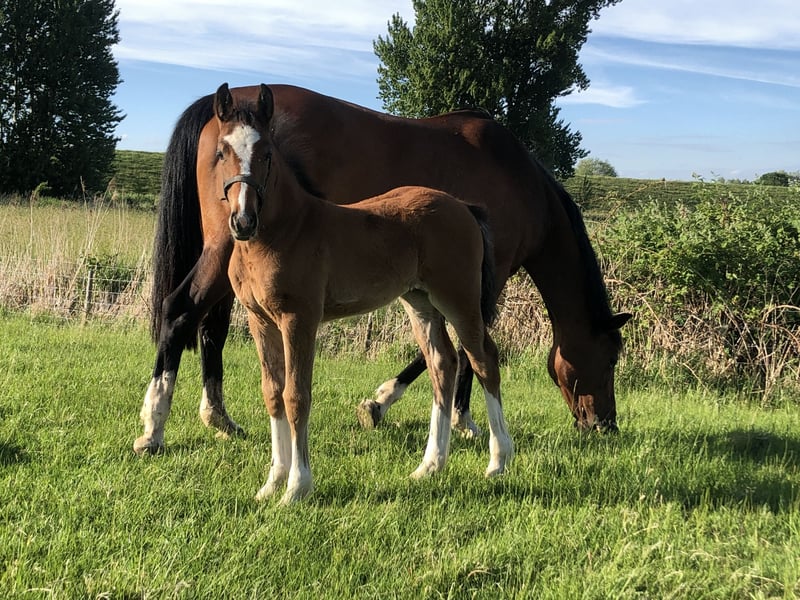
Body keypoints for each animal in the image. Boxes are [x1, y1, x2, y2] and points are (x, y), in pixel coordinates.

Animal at [134, 83, 630, 457]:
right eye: (610, 357)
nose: (604, 424)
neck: (519, 182)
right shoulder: (481, 284)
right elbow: (464, 350)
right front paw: (410, 408)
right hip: (226, 248)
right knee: (180, 310)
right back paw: (154, 427)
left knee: (210, 326)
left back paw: (218, 417)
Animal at [208, 83, 513, 503]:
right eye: (222, 151)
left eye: (267, 153)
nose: (243, 220)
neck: (283, 231)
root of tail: (464, 207)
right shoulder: (260, 320)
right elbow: (272, 393)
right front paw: (271, 483)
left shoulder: (299, 319)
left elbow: (296, 396)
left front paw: (297, 487)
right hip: (420, 301)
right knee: (443, 363)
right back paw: (430, 466)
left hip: (459, 298)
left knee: (484, 359)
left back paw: (498, 461)